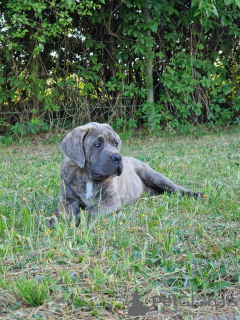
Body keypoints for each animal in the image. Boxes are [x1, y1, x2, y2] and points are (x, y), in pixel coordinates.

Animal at [53, 122, 202, 225]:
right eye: (97, 144)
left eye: (115, 143)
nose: (117, 157)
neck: (86, 176)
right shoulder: (68, 199)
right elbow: (64, 212)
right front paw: (55, 220)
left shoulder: (111, 200)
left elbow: (92, 210)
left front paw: (79, 219)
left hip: (153, 175)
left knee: (176, 188)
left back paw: (197, 194)